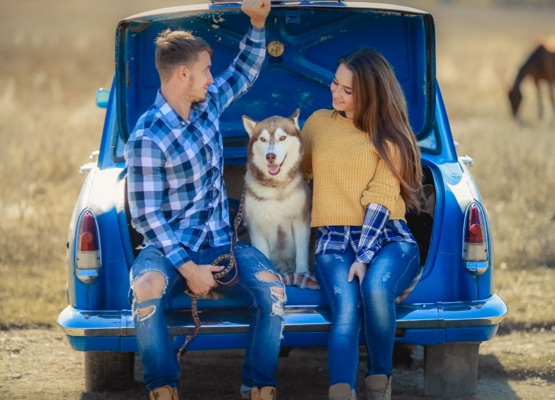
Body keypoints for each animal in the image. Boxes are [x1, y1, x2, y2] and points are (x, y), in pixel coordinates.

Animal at [242, 108, 318, 286]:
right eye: (262, 139)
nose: (270, 156)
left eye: (282, 137)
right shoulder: (257, 229)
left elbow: (302, 254)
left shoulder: (301, 222)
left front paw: (302, 274)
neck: (275, 188)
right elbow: (262, 257)